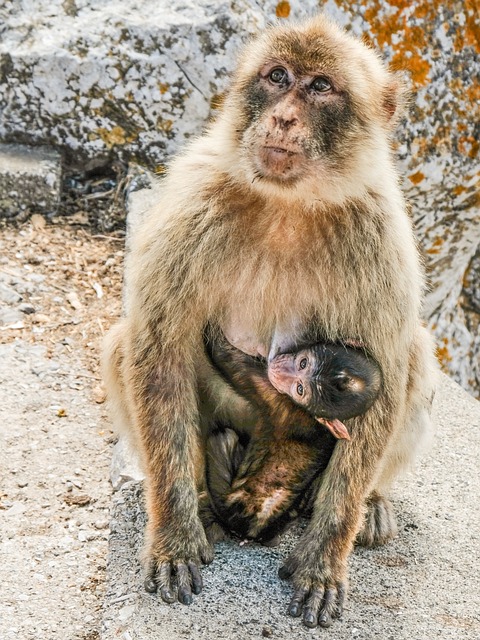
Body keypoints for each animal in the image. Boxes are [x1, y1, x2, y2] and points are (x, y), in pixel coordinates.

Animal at [203, 336, 382, 544]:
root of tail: (253, 532)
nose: (279, 370)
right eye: (303, 363)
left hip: (226, 504)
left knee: (222, 436)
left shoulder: (277, 398)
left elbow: (223, 355)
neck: (312, 416)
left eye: (300, 389)